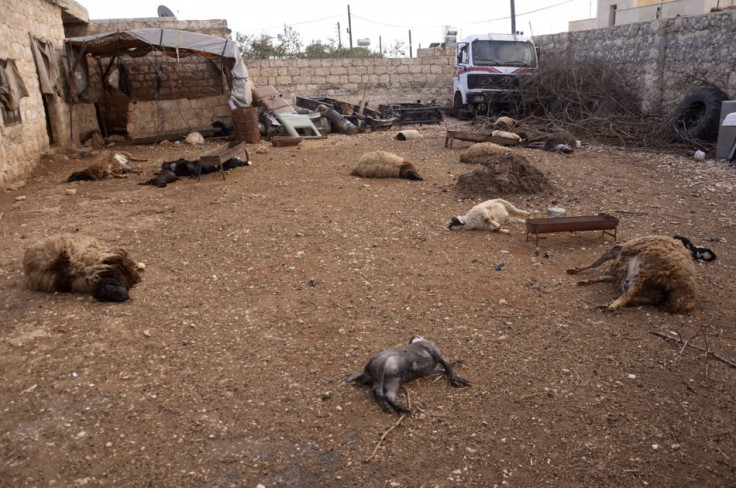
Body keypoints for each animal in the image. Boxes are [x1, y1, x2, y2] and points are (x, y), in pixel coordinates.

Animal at [568, 235, 696, 312]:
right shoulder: (618, 273)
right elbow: (601, 275)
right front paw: (583, 278)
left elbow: (597, 263)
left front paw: (576, 271)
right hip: (656, 293)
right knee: (643, 298)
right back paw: (607, 304)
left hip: (648, 269)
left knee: (630, 292)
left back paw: (612, 306)